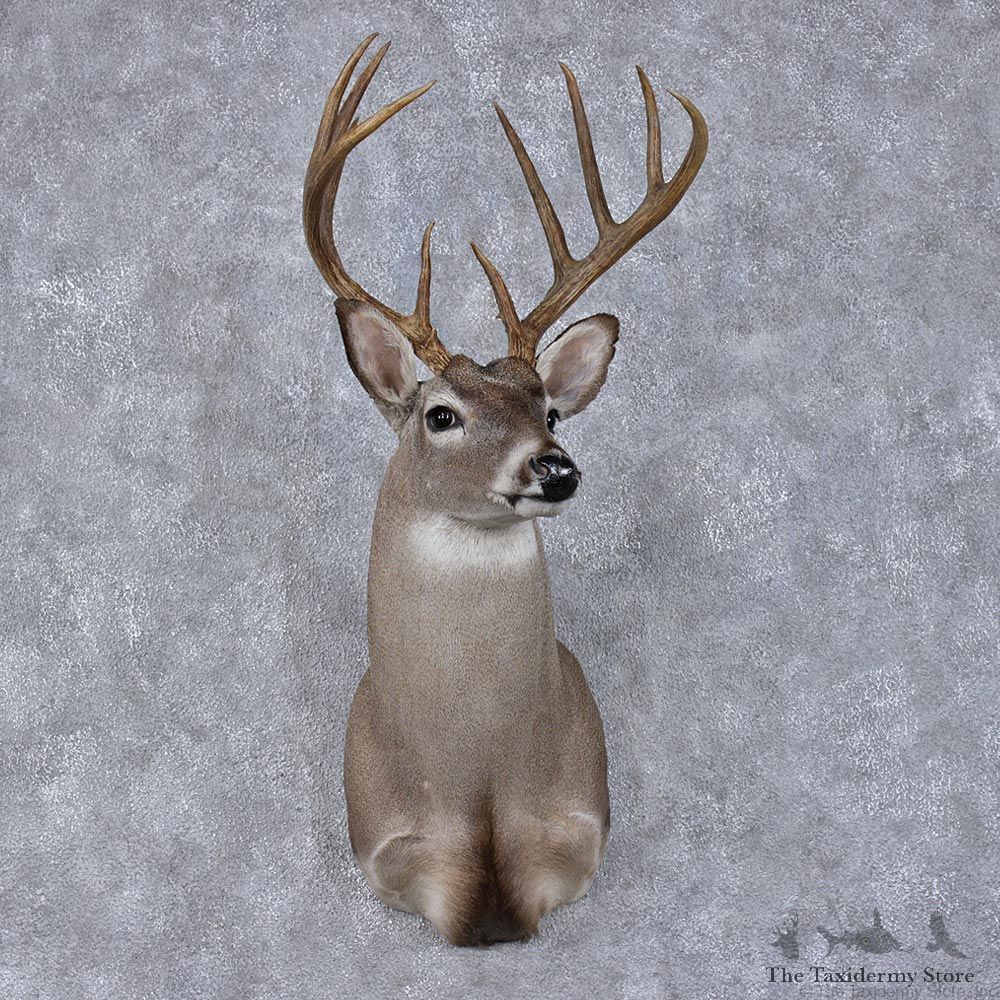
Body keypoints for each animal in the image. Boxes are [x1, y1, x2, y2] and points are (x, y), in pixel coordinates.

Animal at [302, 34, 707, 946]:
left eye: (549, 408)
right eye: (441, 414)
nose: (555, 467)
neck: (477, 775)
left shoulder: (575, 830)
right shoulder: (392, 847)